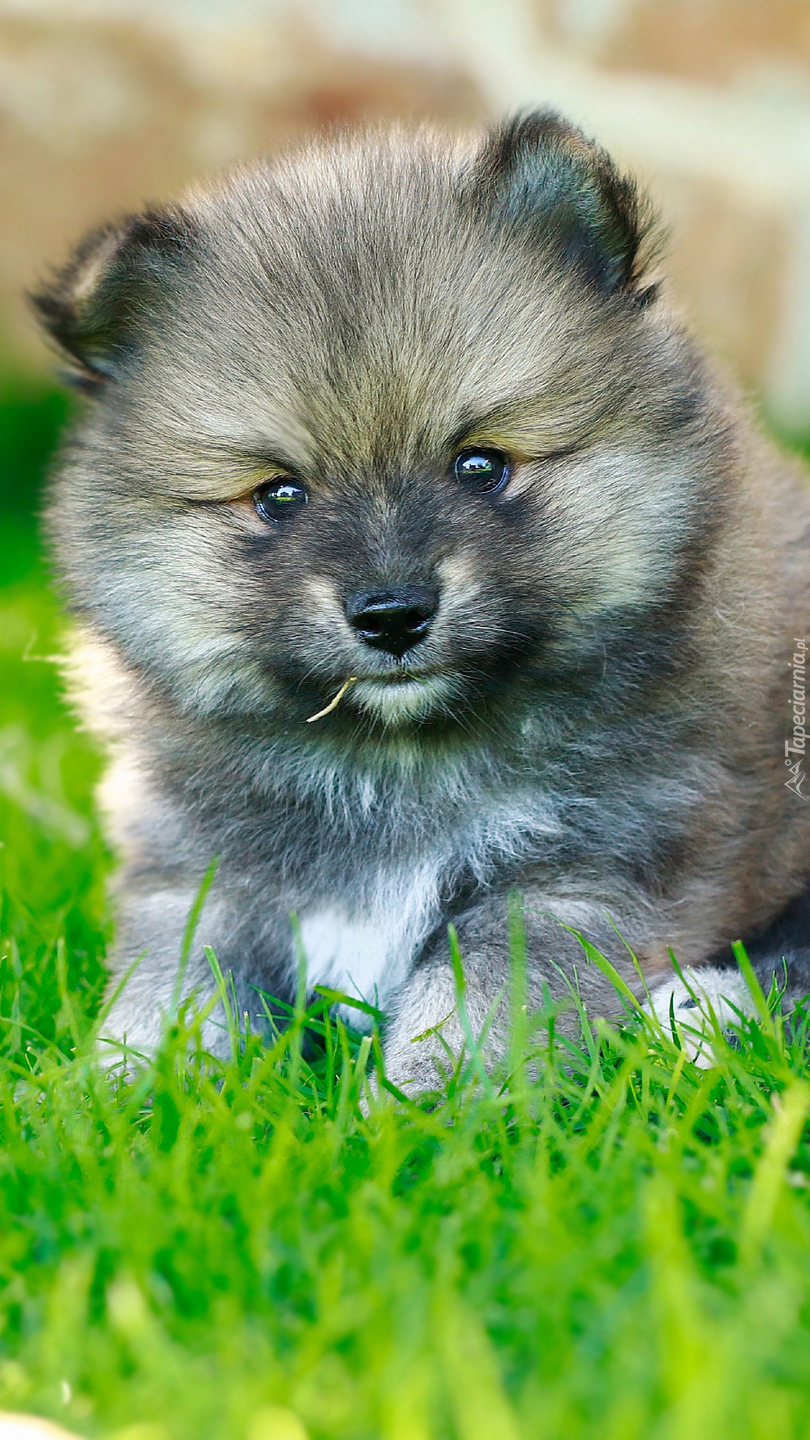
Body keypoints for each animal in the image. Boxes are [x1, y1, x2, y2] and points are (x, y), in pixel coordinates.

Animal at [34, 112, 807, 1082]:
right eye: (278, 495)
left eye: (480, 465)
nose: (392, 614)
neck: (391, 767)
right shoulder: (196, 873)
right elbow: (173, 994)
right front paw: (127, 1089)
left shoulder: (573, 874)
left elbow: (471, 1003)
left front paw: (426, 1099)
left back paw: (699, 1012)